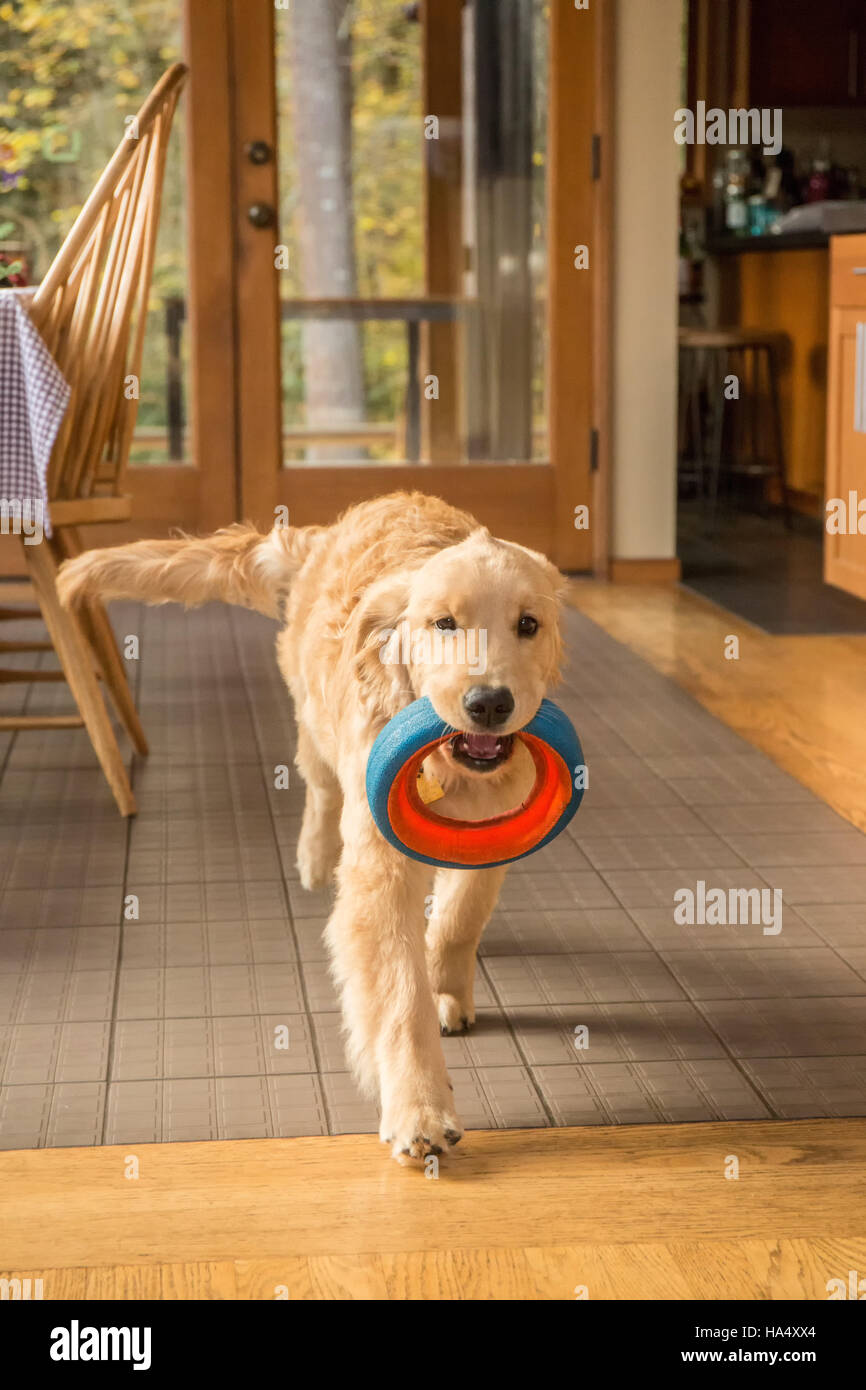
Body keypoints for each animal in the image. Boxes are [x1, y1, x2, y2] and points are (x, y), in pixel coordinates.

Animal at [57, 492, 567, 1162]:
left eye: (528, 625)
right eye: (443, 624)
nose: (488, 703)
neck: (451, 772)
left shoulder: (491, 836)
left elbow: (460, 921)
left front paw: (446, 987)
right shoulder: (379, 870)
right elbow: (399, 997)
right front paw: (419, 1110)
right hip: (315, 721)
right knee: (321, 788)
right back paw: (315, 858)